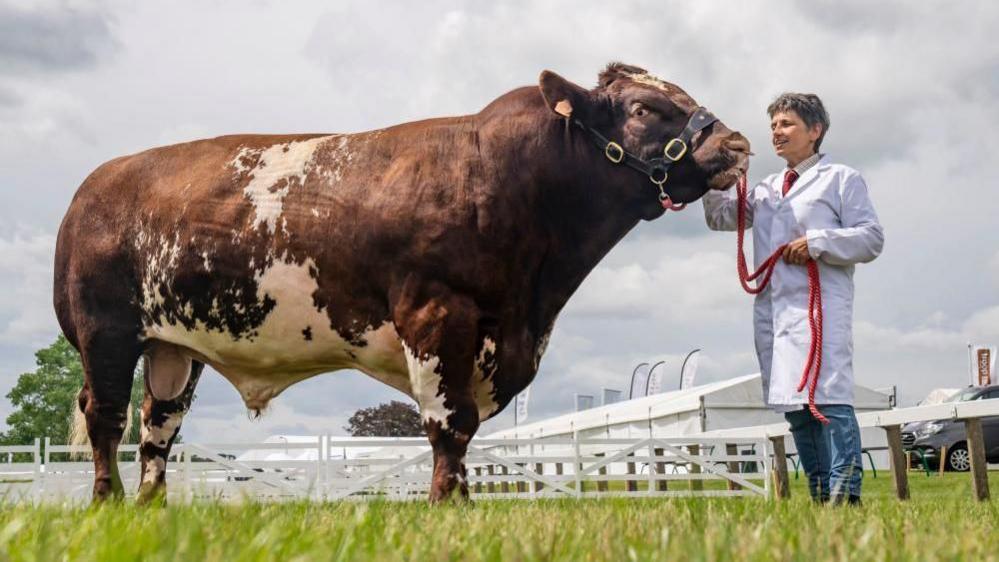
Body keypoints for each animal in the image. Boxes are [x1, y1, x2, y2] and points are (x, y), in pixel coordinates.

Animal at [50, 63, 748, 500]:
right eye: (644, 108)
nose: (738, 145)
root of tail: (93, 186)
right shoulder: (438, 314)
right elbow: (449, 424)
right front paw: (448, 507)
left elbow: (462, 432)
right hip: (106, 332)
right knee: (106, 416)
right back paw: (108, 504)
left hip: (175, 348)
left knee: (158, 425)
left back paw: (152, 509)